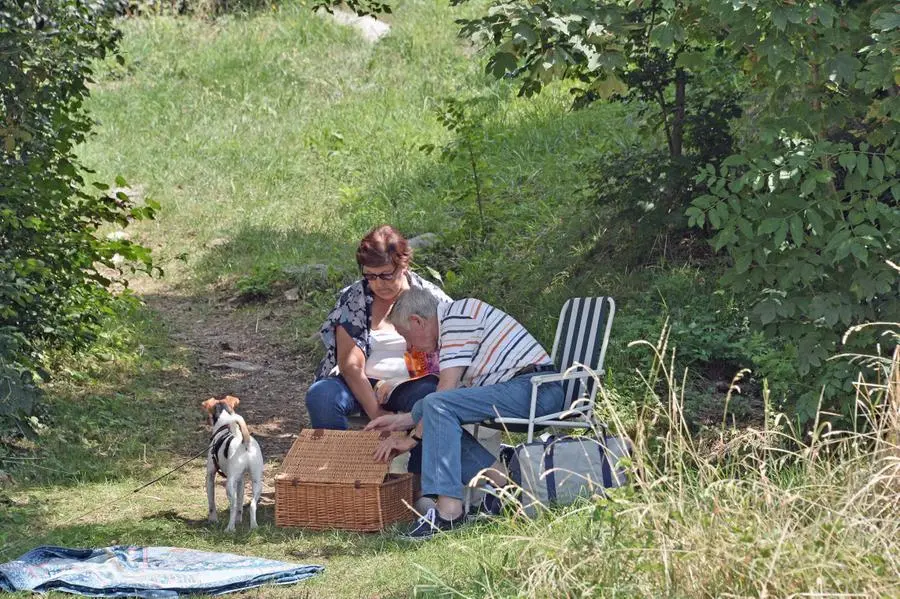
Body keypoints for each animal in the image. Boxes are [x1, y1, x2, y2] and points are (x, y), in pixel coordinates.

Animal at [201, 396, 264, 532]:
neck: (224, 425)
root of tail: (245, 442)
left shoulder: (210, 475)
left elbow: (211, 502)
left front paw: (213, 519)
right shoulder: (240, 480)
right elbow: (240, 503)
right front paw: (239, 520)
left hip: (229, 484)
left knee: (233, 506)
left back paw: (230, 528)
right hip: (257, 482)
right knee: (252, 505)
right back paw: (254, 526)